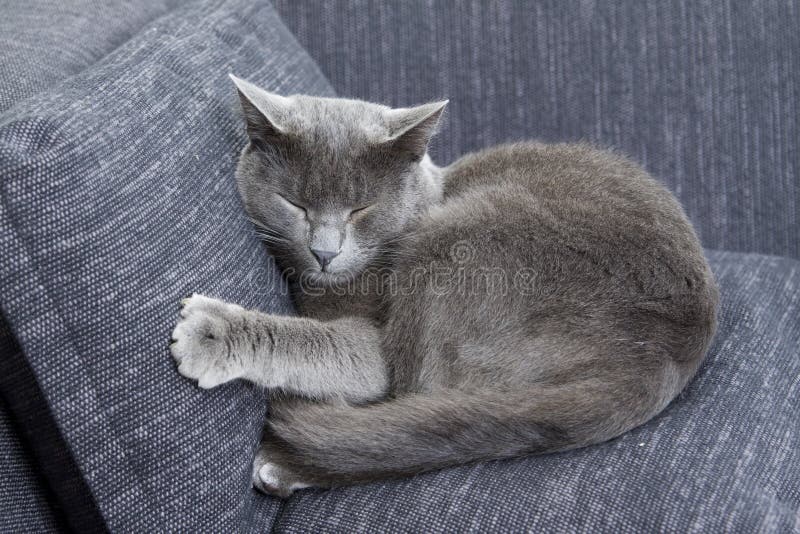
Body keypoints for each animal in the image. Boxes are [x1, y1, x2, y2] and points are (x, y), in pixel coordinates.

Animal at [169, 74, 720, 498]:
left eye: (361, 208)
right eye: (295, 204)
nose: (325, 252)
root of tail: (661, 356)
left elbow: (332, 348)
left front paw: (211, 332)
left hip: (456, 238)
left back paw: (283, 465)